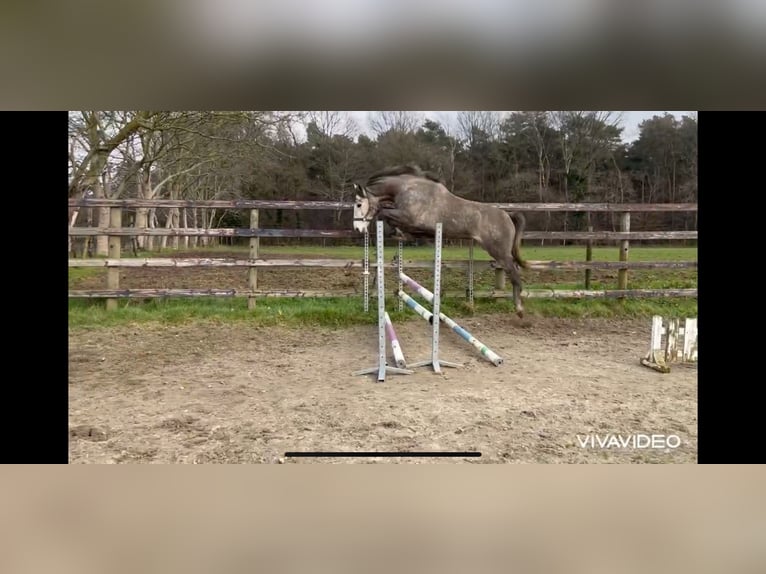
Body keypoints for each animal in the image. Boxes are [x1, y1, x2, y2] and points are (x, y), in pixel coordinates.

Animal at [352, 165, 528, 320]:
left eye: (359, 204)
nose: (357, 229)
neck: (407, 188)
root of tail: (508, 215)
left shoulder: (409, 217)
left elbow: (384, 212)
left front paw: (397, 232)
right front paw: (400, 235)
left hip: (500, 252)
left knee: (515, 276)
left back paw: (519, 310)